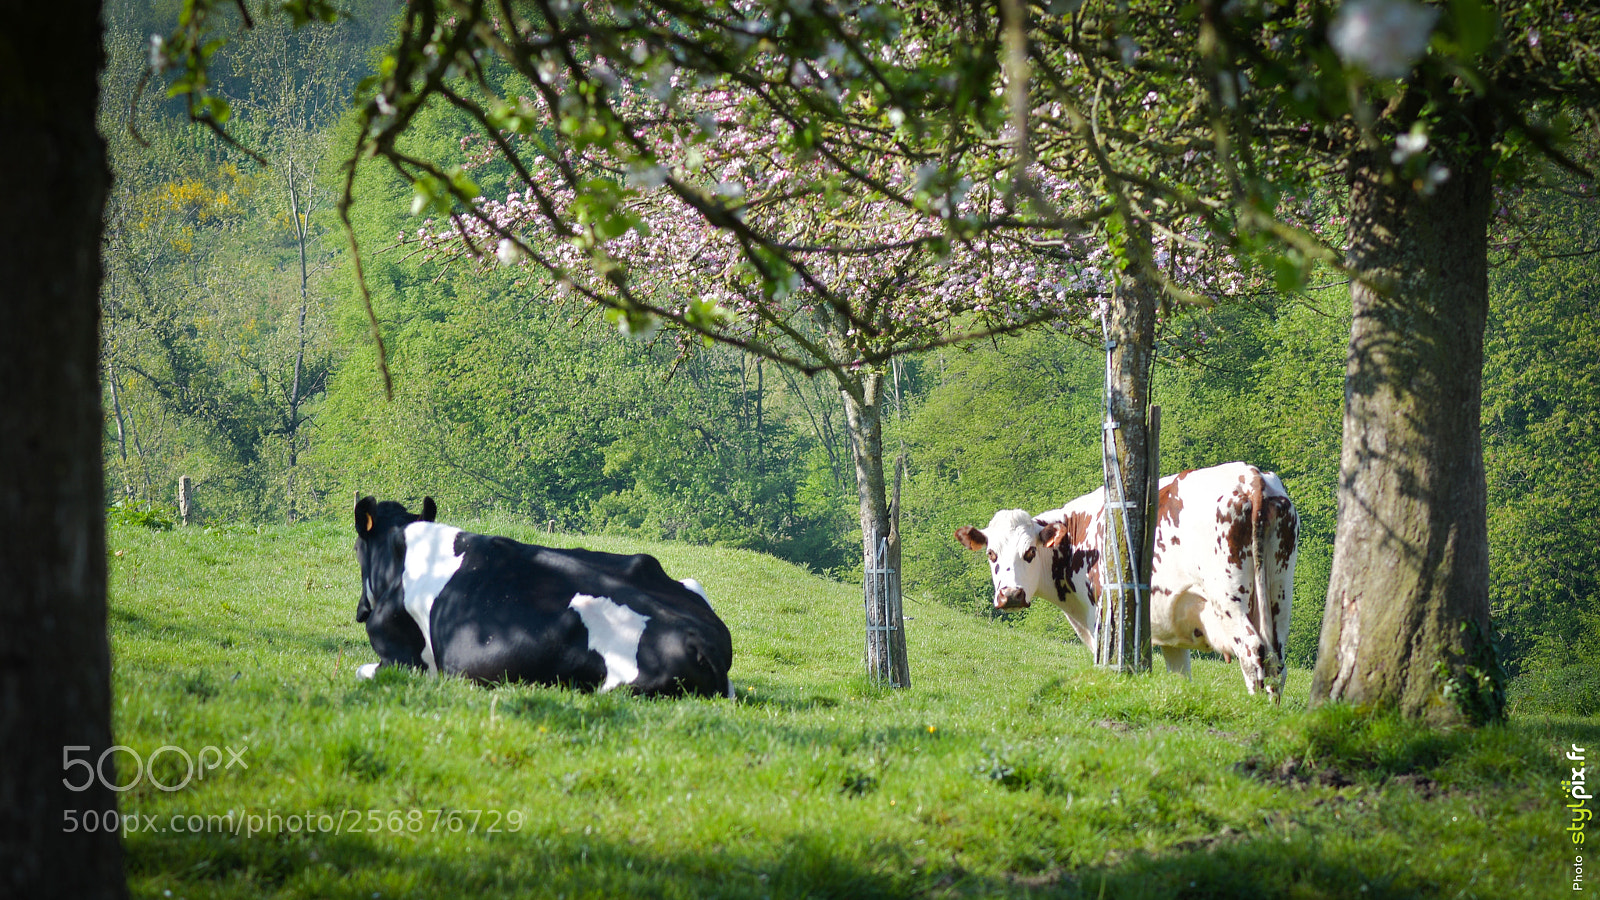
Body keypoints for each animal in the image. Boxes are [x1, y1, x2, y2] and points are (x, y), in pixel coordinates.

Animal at [956, 462, 1297, 698]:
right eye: (991, 554)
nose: (1011, 594)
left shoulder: (1102, 621)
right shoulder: (1173, 630)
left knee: (1254, 653)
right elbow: (1180, 680)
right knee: (1276, 661)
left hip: (1229, 598)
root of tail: (1250, 476)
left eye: (1029, 552)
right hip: (1278, 595)